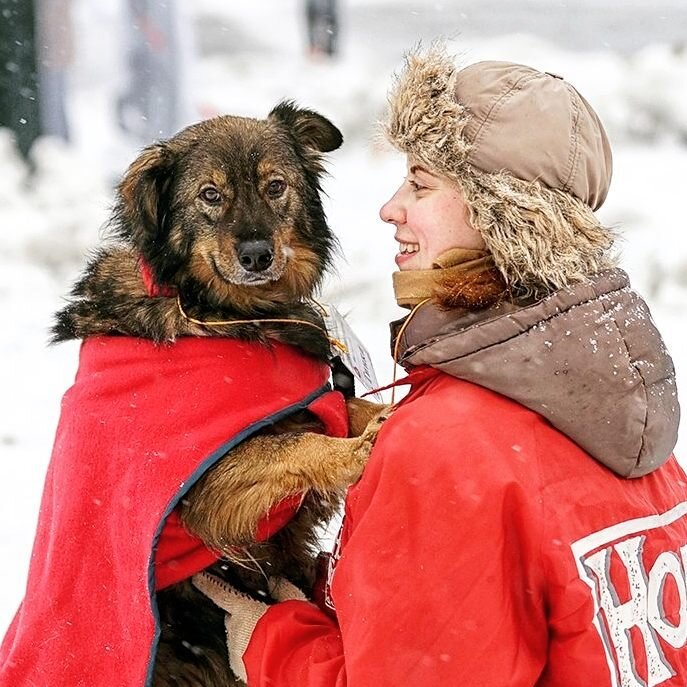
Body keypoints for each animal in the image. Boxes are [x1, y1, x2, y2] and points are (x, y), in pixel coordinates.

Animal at [42, 103, 384, 687]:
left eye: (275, 186)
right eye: (209, 195)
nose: (257, 255)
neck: (221, 315)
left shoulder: (304, 406)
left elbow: (344, 407)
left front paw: (393, 410)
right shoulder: (206, 492)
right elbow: (294, 443)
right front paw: (359, 450)